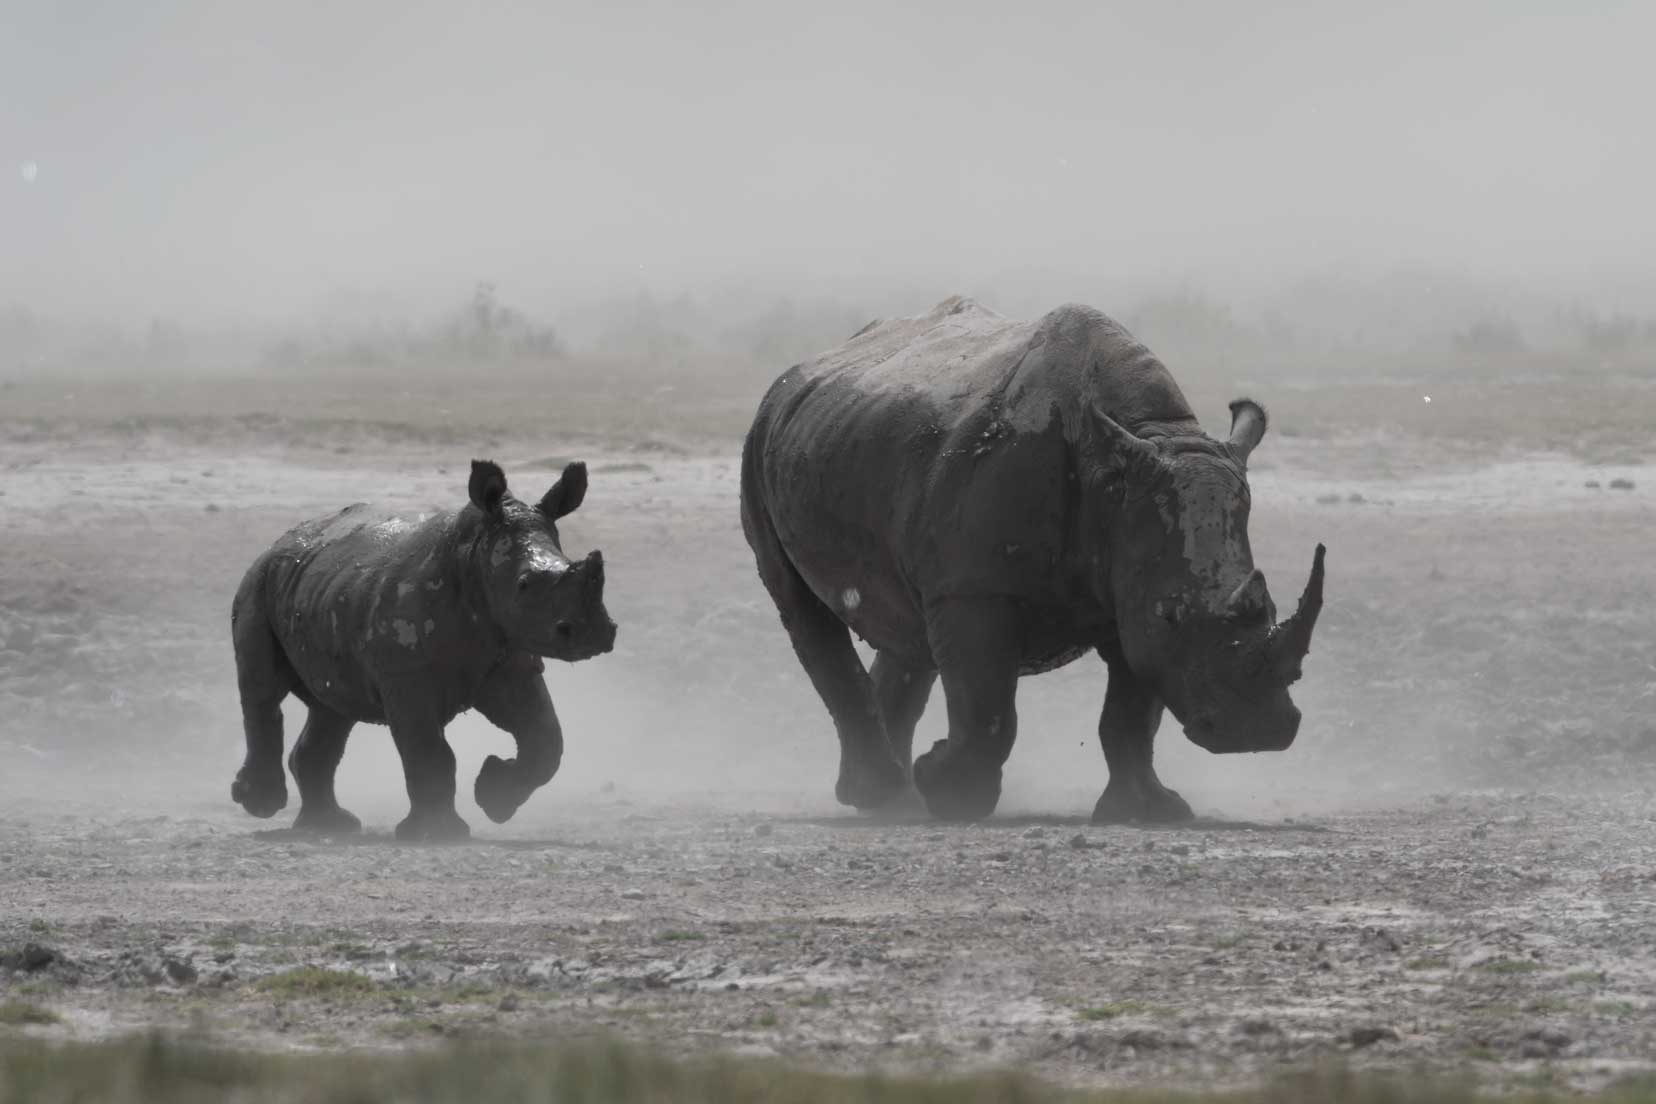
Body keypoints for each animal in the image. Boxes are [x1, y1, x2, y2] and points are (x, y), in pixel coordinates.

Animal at [230, 463, 619, 840]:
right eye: (523, 584)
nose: (594, 633)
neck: (475, 557)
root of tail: (279, 541)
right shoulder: (406, 675)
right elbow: (429, 750)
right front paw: (437, 834)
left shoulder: (511, 663)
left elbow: (545, 739)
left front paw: (493, 799)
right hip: (257, 584)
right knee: (264, 690)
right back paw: (263, 804)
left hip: (321, 590)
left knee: (332, 709)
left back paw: (327, 825)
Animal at [745, 297, 1324, 824]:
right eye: (1172, 616)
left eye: (1273, 611)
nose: (1256, 732)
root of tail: (798, 373)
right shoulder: (975, 588)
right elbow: (988, 705)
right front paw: (954, 797)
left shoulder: (1130, 582)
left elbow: (1131, 716)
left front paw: (1149, 812)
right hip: (760, 442)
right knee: (803, 610)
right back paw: (887, 797)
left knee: (908, 629)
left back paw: (892, 802)